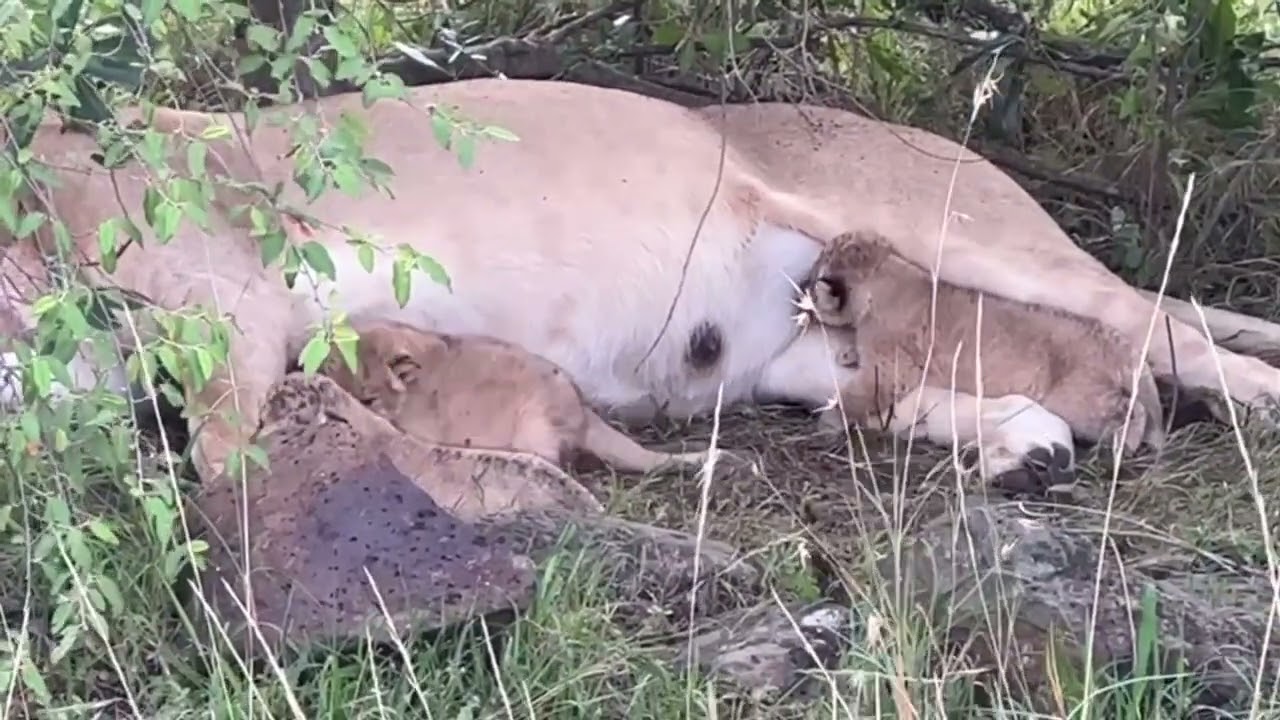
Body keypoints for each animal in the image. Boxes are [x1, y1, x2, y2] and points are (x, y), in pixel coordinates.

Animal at [805, 231, 1166, 470]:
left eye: (815, 271)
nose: (804, 288)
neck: (884, 273)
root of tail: (1118, 340)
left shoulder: (892, 368)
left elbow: (856, 395)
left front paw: (830, 420)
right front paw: (849, 353)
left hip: (1077, 401)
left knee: (1132, 409)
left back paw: (1125, 446)